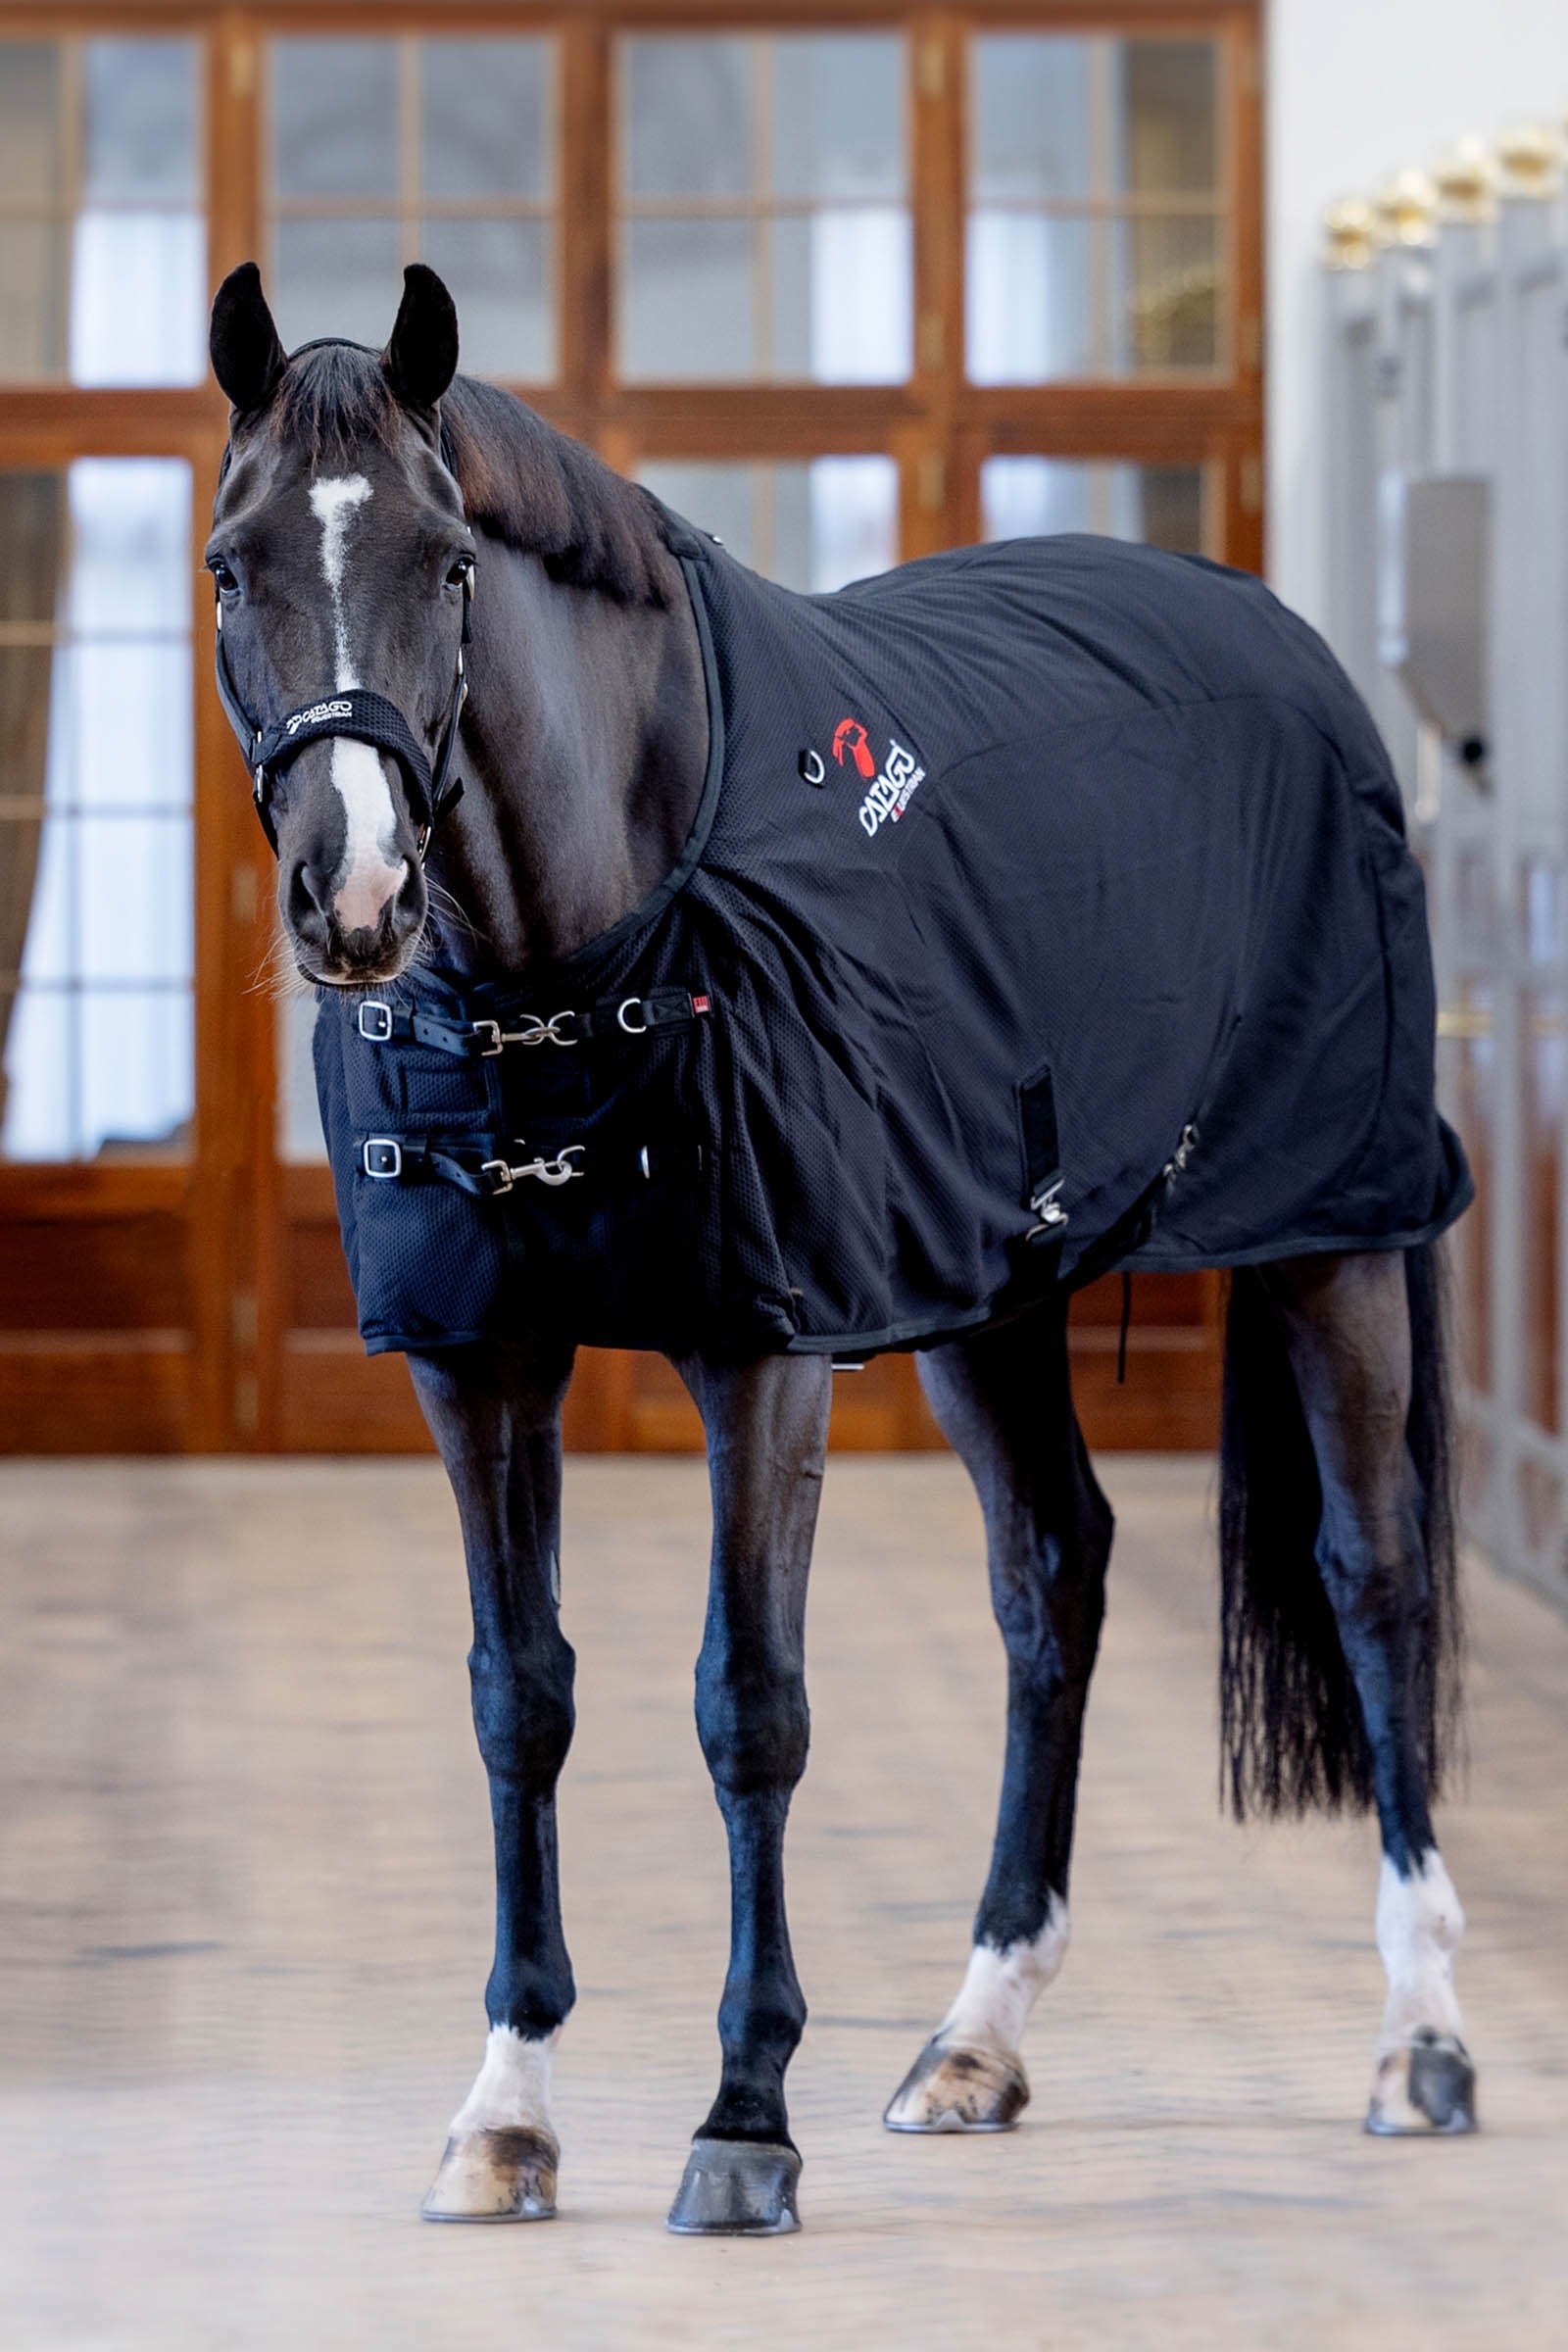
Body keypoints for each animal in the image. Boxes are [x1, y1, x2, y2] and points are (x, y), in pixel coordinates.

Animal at [206, 260, 1476, 2236]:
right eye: (230, 562)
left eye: (451, 561)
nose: (354, 898)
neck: (577, 962)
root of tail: (1285, 642)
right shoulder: (478, 1363)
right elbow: (520, 1700)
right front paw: (505, 2110)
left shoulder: (764, 1350)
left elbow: (752, 1710)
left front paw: (743, 2121)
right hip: (988, 1295)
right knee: (1053, 1575)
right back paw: (978, 2037)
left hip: (1329, 1238)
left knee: (1374, 1574)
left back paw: (1421, 2037)